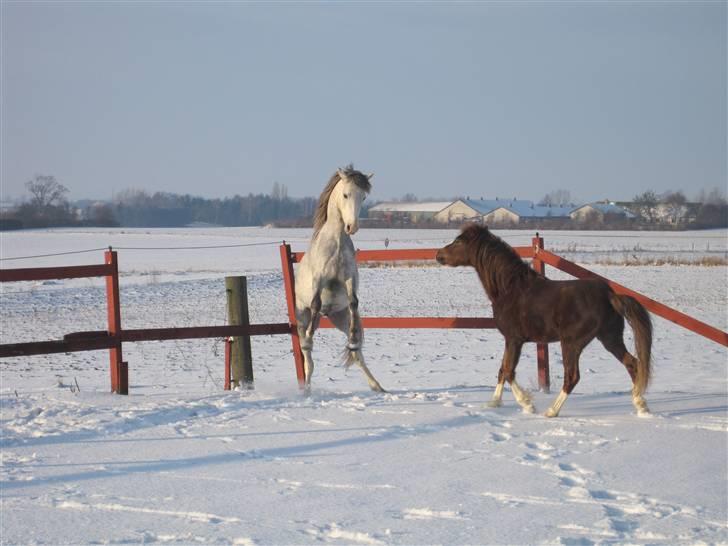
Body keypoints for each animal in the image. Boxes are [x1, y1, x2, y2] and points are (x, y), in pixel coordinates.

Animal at [294, 165, 384, 393]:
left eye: (363, 197)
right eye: (345, 194)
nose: (352, 227)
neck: (335, 243)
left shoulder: (349, 279)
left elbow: (354, 302)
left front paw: (353, 338)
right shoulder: (319, 280)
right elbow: (315, 303)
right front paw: (310, 338)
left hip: (339, 317)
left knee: (357, 354)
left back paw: (376, 384)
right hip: (302, 316)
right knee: (307, 356)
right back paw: (306, 386)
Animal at [436, 223, 652, 417]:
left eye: (458, 241)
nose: (438, 255)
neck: (510, 289)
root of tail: (609, 295)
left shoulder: (514, 339)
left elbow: (508, 371)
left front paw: (527, 404)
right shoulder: (511, 340)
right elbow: (502, 370)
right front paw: (493, 404)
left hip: (572, 343)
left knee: (572, 376)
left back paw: (551, 411)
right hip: (610, 339)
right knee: (633, 364)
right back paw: (641, 406)